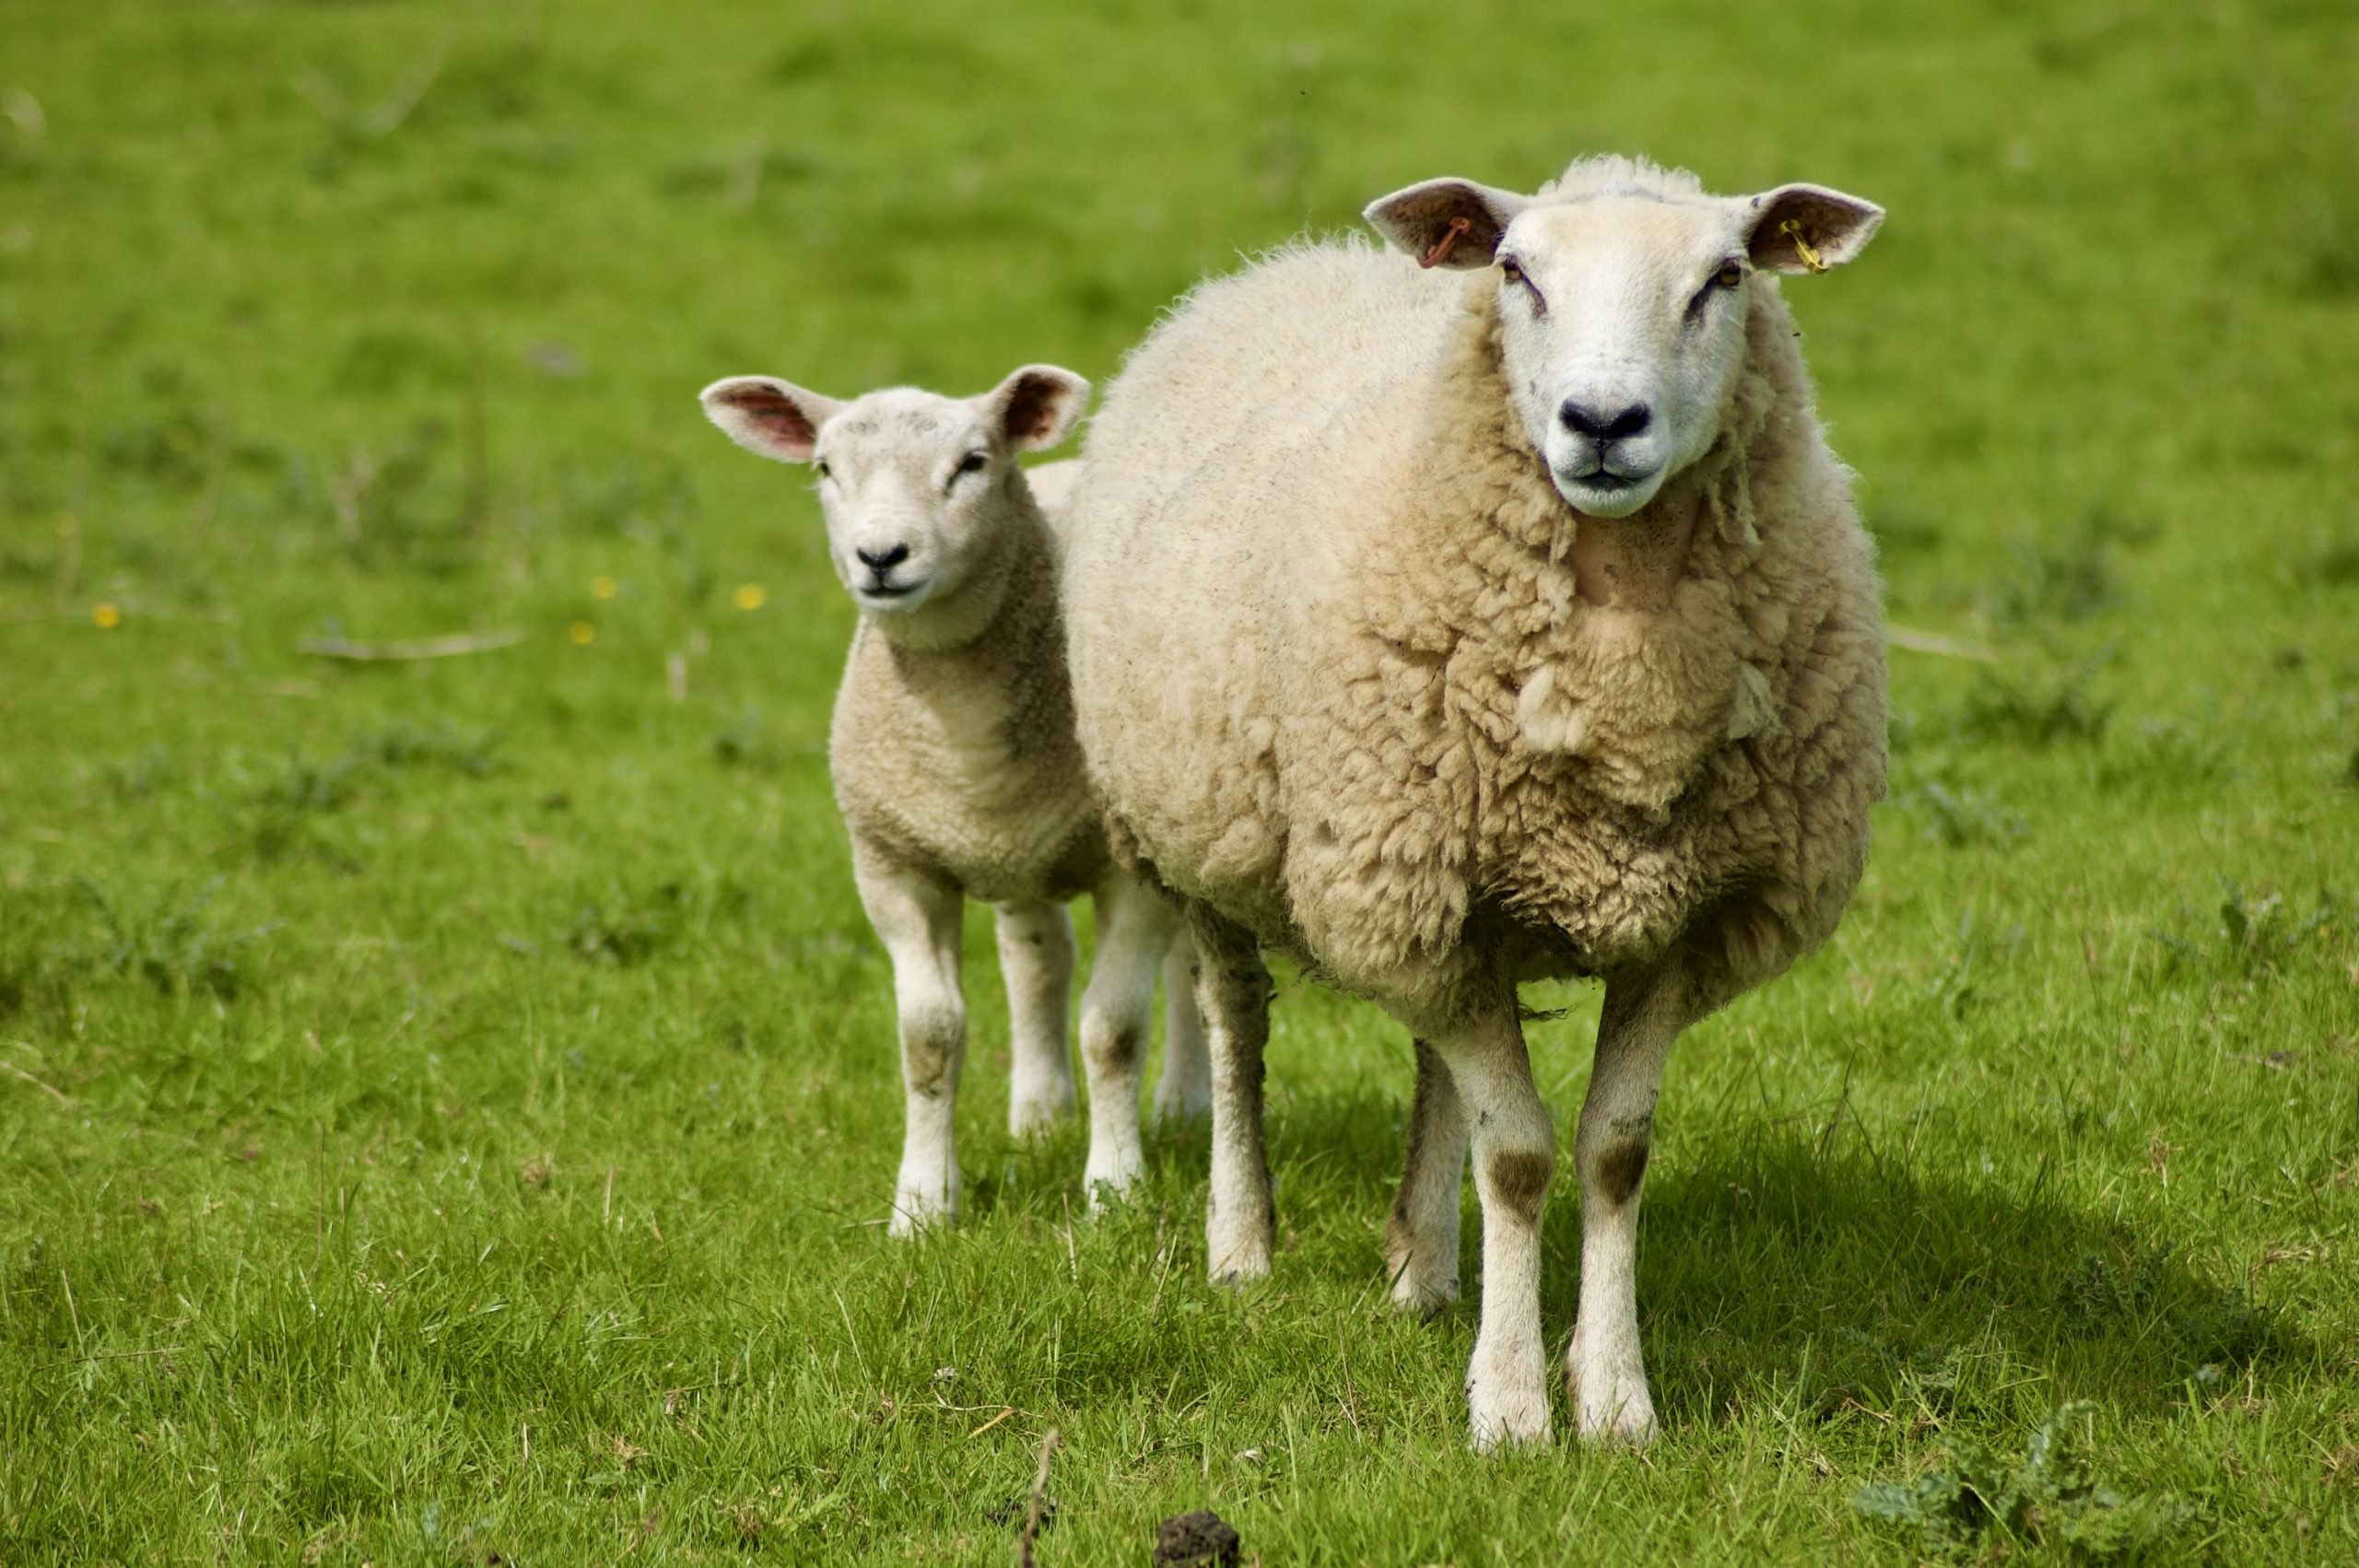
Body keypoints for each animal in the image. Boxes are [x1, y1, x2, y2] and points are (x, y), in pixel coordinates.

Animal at [698, 366, 1208, 1234]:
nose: (880, 556)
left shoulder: (1127, 873)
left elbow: (1114, 1029)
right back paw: (1040, 1112)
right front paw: (923, 1206)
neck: (964, 738)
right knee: (1037, 955)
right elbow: (929, 1038)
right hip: (1016, 851)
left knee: (1188, 967)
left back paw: (1184, 1105)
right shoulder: (895, 865)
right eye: (825, 468)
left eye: (973, 463)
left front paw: (1115, 1191)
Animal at [1063, 155, 1887, 1449]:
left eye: (1725, 276)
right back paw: (1241, 1242)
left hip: (1439, 899)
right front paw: (1509, 1408)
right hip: (1215, 839)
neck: (1623, 681)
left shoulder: (1683, 920)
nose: (1601, 423)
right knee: (1235, 1028)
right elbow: (1518, 1160)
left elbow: (1611, 1154)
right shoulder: (1404, 883)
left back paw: (1423, 1263)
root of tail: (1285, 263)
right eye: (1515, 273)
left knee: (1428, 1057)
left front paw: (1615, 1399)